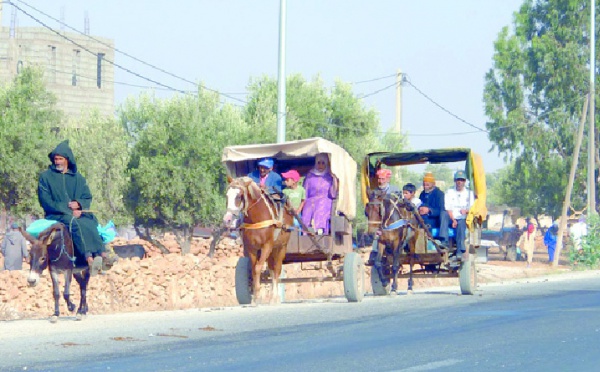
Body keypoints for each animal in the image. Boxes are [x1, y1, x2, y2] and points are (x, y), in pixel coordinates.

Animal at [221, 177, 294, 306]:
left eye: (239, 196)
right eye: (227, 195)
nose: (227, 219)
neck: (256, 219)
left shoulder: (267, 246)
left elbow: (258, 268)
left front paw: (259, 296)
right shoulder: (251, 249)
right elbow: (254, 270)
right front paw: (255, 297)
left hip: (281, 247)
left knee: (277, 269)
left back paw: (275, 297)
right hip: (272, 251)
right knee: (272, 269)